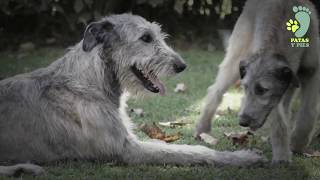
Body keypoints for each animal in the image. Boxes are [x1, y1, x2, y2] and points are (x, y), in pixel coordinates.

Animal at [0, 14, 262, 176]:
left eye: (158, 35)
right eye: (145, 38)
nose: (181, 65)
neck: (92, 80)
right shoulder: (127, 150)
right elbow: (190, 151)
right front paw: (243, 158)